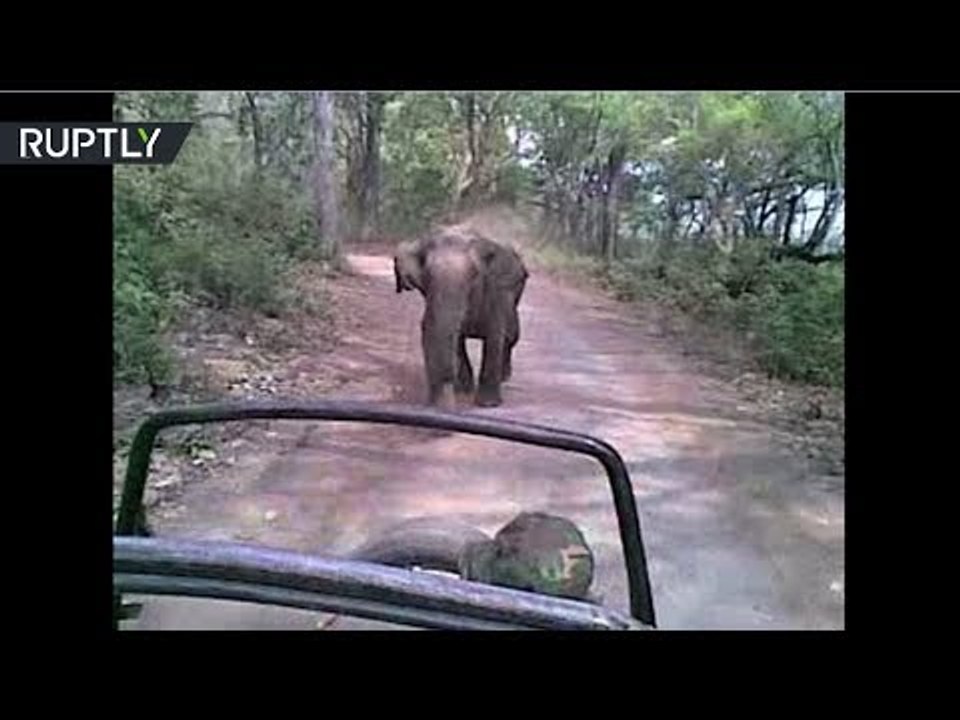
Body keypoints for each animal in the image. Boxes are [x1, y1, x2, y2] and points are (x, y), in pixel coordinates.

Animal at [394, 229, 528, 408]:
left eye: (474, 276)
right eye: (427, 277)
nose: (438, 403)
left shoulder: (497, 291)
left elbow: (495, 337)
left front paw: (488, 404)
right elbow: (456, 338)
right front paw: (462, 391)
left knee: (511, 336)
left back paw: (504, 377)